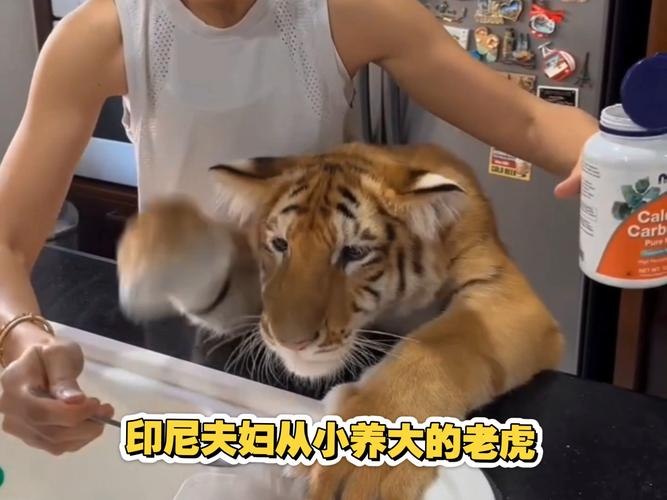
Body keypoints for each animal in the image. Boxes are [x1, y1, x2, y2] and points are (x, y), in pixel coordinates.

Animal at [116, 142, 563, 499]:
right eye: (280, 244)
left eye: (354, 253)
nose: (290, 342)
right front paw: (150, 247)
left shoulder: (503, 291)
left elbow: (438, 346)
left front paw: (361, 460)